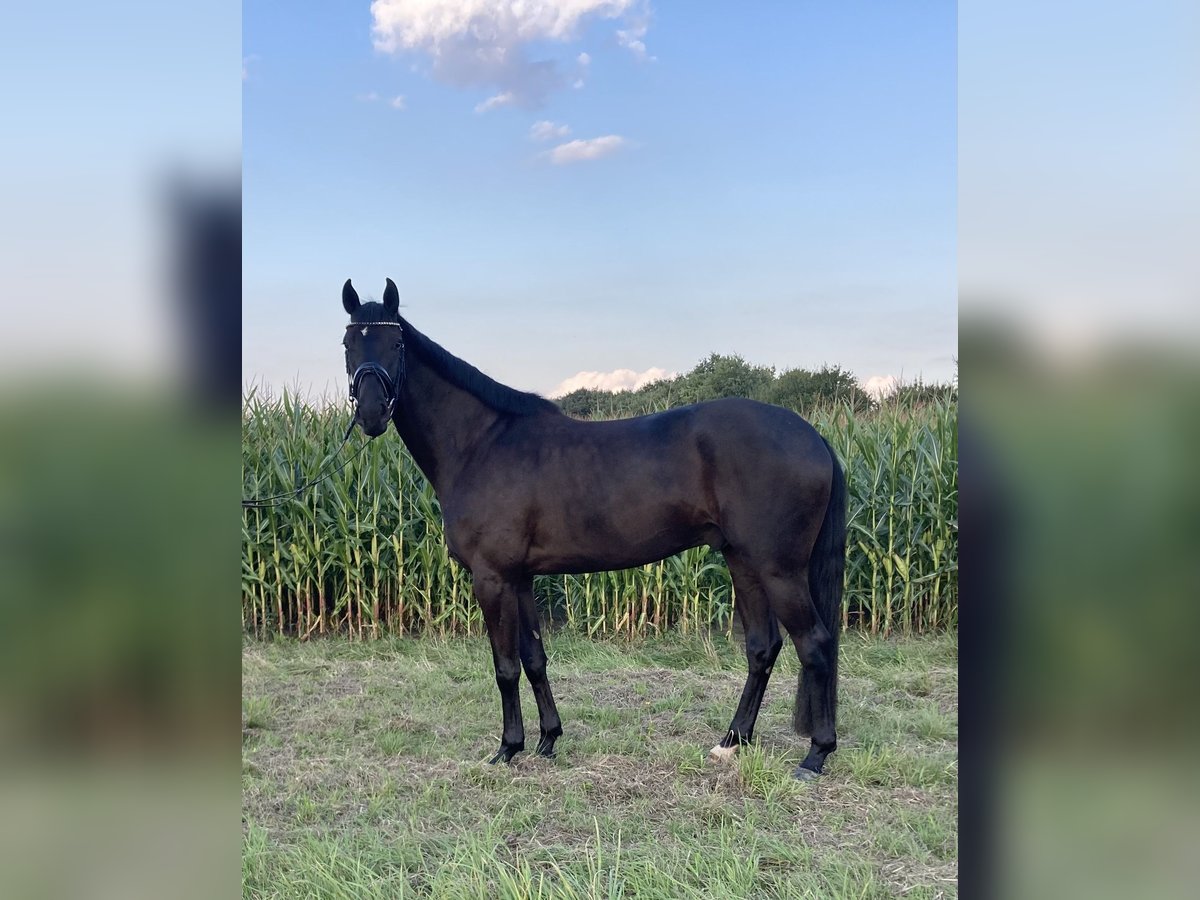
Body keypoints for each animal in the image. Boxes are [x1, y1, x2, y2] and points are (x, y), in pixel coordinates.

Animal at [338, 278, 849, 777]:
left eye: (396, 342)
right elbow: (534, 659)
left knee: (815, 645)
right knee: (763, 647)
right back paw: (731, 742)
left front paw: (507, 748)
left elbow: (505, 667)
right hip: (743, 562)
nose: (371, 413)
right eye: (348, 343)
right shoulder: (520, 579)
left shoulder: (492, 578)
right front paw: (547, 740)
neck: (482, 444)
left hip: (780, 570)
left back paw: (815, 755)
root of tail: (813, 436)